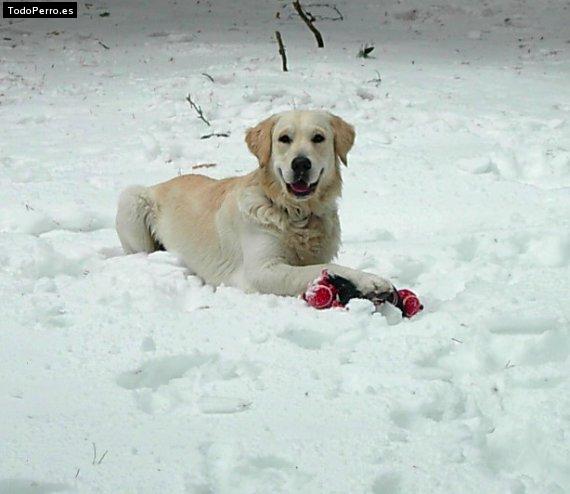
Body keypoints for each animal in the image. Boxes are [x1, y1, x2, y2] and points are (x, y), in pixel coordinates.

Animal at [113, 111, 392, 302]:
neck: (295, 213)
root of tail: (162, 182)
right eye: (284, 139)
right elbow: (324, 268)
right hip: (132, 198)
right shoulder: (260, 271)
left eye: (318, 138)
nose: (301, 164)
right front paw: (371, 281)